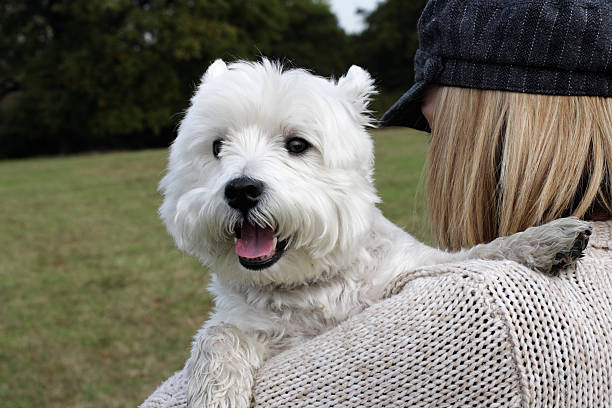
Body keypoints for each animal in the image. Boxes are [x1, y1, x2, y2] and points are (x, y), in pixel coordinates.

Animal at [160, 58, 592, 408]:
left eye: (297, 144)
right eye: (217, 147)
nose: (240, 190)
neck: (311, 284)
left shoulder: (408, 272)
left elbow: (477, 253)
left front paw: (544, 238)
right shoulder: (262, 331)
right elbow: (217, 334)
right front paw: (214, 394)